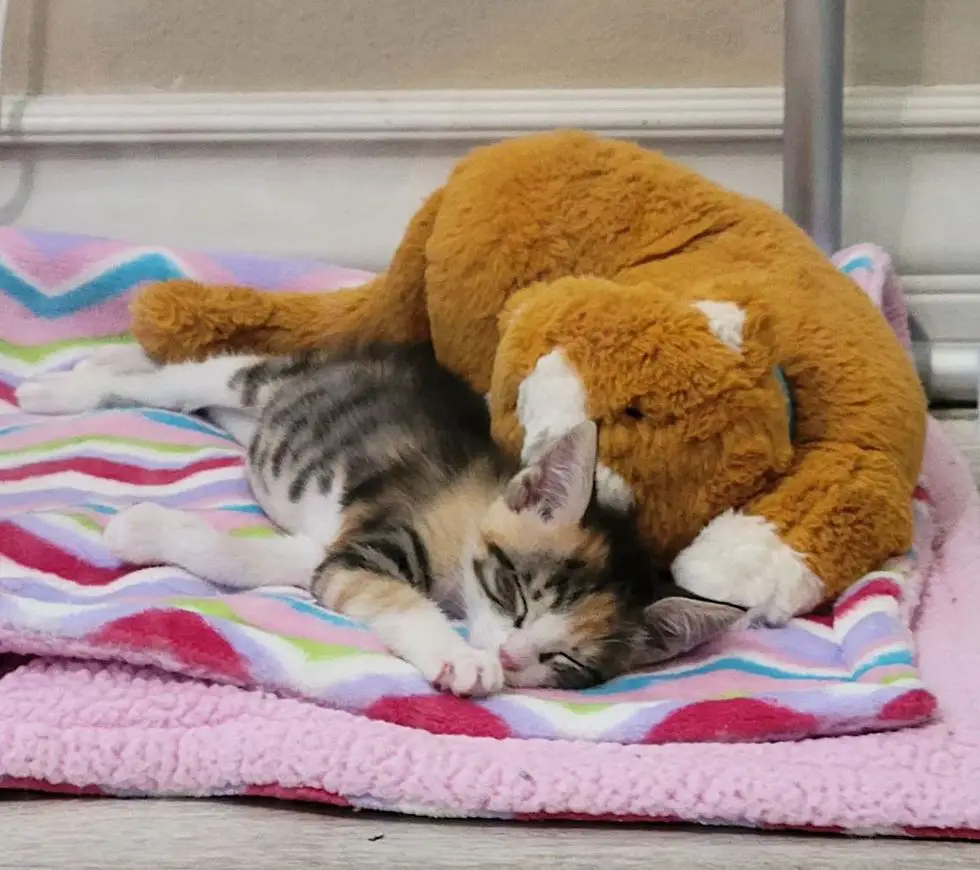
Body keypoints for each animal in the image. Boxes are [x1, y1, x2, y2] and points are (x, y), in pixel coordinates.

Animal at [17, 344, 744, 700]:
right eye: (515, 594)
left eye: (563, 659)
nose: (510, 657)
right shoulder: (375, 542)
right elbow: (397, 598)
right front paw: (460, 658)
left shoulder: (328, 548)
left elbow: (263, 560)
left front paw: (152, 533)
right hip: (260, 379)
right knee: (187, 379)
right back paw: (65, 387)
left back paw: (104, 363)